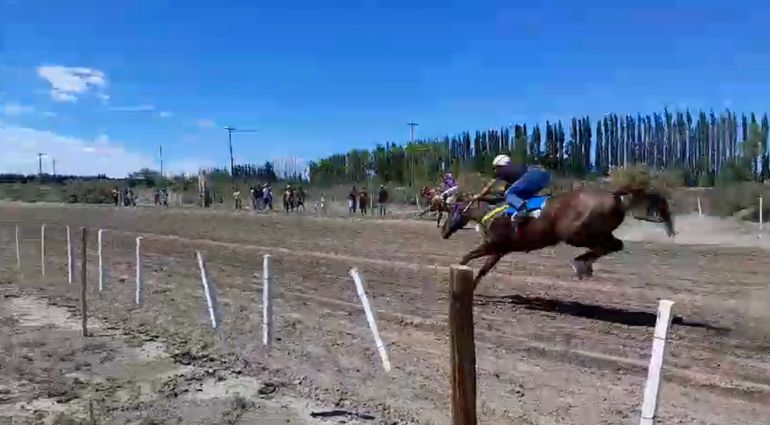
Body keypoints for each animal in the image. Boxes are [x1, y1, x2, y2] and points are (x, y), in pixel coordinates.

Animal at [440, 186, 676, 288]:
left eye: (450, 211)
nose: (443, 232)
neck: (490, 212)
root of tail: (614, 194)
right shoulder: (499, 251)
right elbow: (482, 271)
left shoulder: (492, 245)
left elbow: (466, 257)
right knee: (615, 245)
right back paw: (584, 265)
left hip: (577, 234)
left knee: (610, 245)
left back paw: (581, 263)